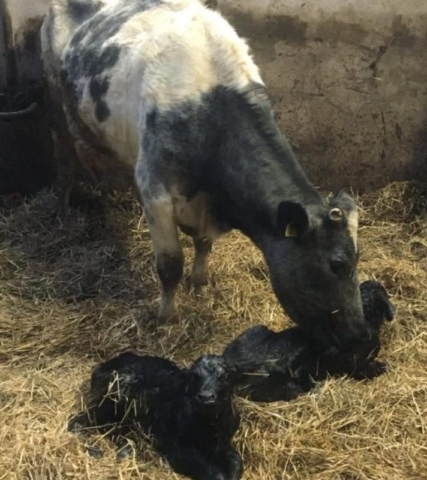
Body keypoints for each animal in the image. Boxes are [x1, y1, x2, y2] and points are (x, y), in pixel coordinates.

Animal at [39, 0, 368, 348]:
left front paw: (199, 286)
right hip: (55, 103)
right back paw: (63, 213)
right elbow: (171, 264)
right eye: (338, 264)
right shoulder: (156, 192)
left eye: (357, 257)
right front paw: (165, 317)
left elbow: (204, 243)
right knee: (64, 160)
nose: (362, 334)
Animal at [70, 352, 244, 480]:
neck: (209, 425)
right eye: (194, 376)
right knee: (78, 420)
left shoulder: (223, 444)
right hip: (110, 396)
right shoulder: (178, 450)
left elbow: (237, 463)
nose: (206, 397)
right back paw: (95, 450)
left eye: (225, 376)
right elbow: (214, 472)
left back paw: (125, 448)